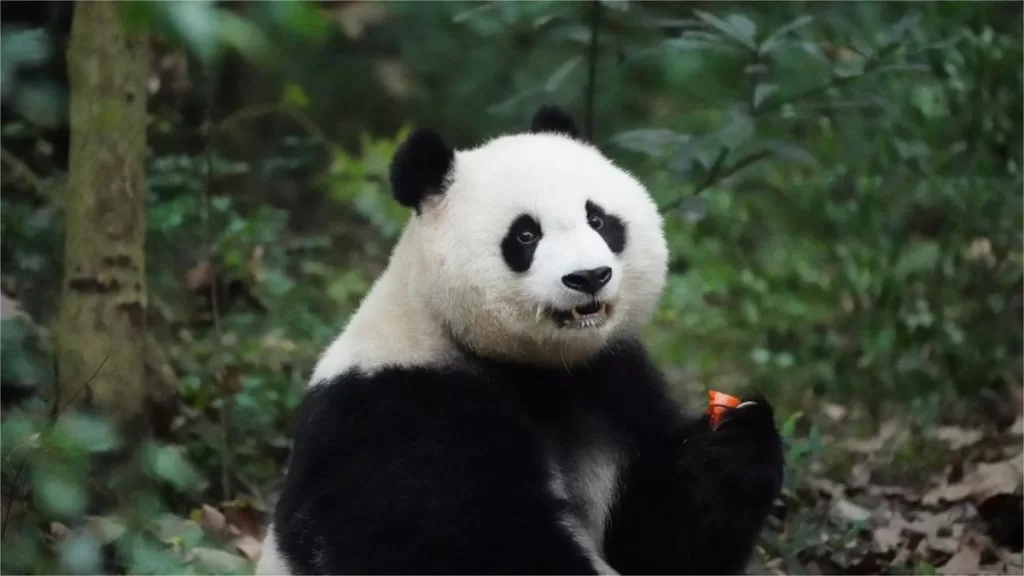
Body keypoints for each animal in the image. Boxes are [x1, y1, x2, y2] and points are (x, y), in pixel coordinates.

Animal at [255, 106, 784, 575]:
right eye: (526, 235)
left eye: (599, 220)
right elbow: (475, 544)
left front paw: (735, 447)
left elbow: (654, 543)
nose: (589, 277)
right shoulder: (400, 411)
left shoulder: (613, 381)